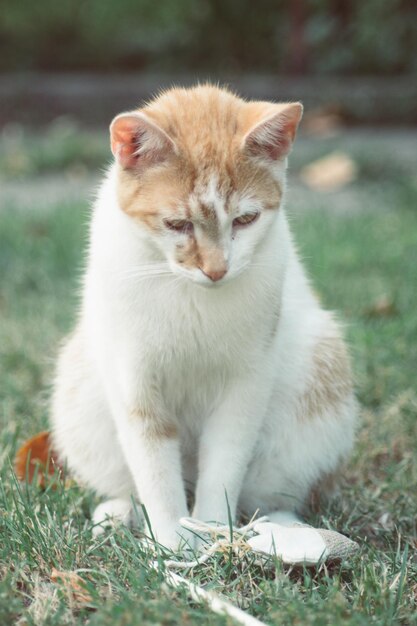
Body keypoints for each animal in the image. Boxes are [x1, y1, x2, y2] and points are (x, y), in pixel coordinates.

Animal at [50, 84, 356, 544]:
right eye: (177, 224)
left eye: (246, 219)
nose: (216, 270)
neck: (190, 296)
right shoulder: (135, 382)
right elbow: (155, 470)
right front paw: (170, 542)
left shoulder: (246, 383)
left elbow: (225, 462)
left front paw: (212, 530)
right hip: (80, 391)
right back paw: (118, 513)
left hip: (319, 375)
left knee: (270, 492)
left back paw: (286, 529)